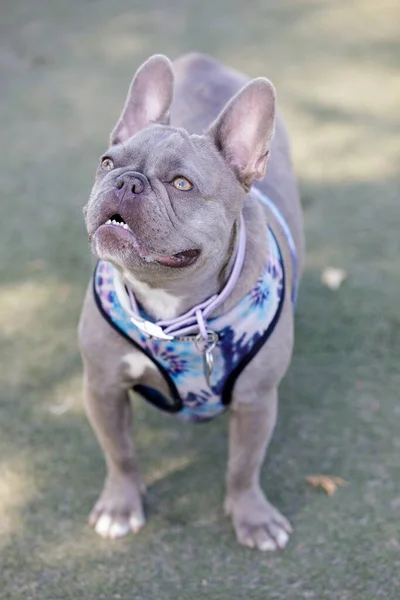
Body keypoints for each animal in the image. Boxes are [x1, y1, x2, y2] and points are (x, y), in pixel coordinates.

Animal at [77, 54, 304, 552]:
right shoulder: (102, 386)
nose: (128, 182)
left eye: (182, 184)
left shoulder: (256, 401)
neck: (173, 307)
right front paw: (120, 507)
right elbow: (120, 452)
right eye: (106, 162)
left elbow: (243, 466)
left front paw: (253, 517)